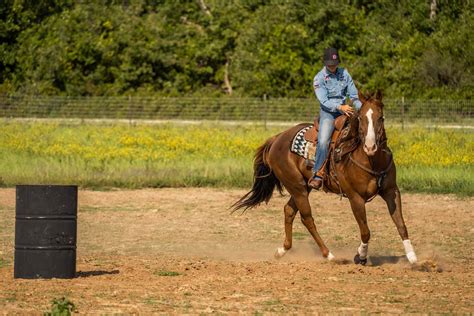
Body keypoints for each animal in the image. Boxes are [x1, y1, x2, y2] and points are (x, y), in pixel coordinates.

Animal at [233, 90, 418, 264]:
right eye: (361, 118)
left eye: (381, 117)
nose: (370, 146)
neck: (371, 160)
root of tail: (277, 138)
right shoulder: (355, 198)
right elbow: (365, 231)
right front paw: (361, 256)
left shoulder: (391, 192)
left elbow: (401, 225)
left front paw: (412, 258)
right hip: (297, 187)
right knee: (307, 218)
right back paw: (328, 254)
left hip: (303, 187)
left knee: (289, 210)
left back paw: (282, 250)